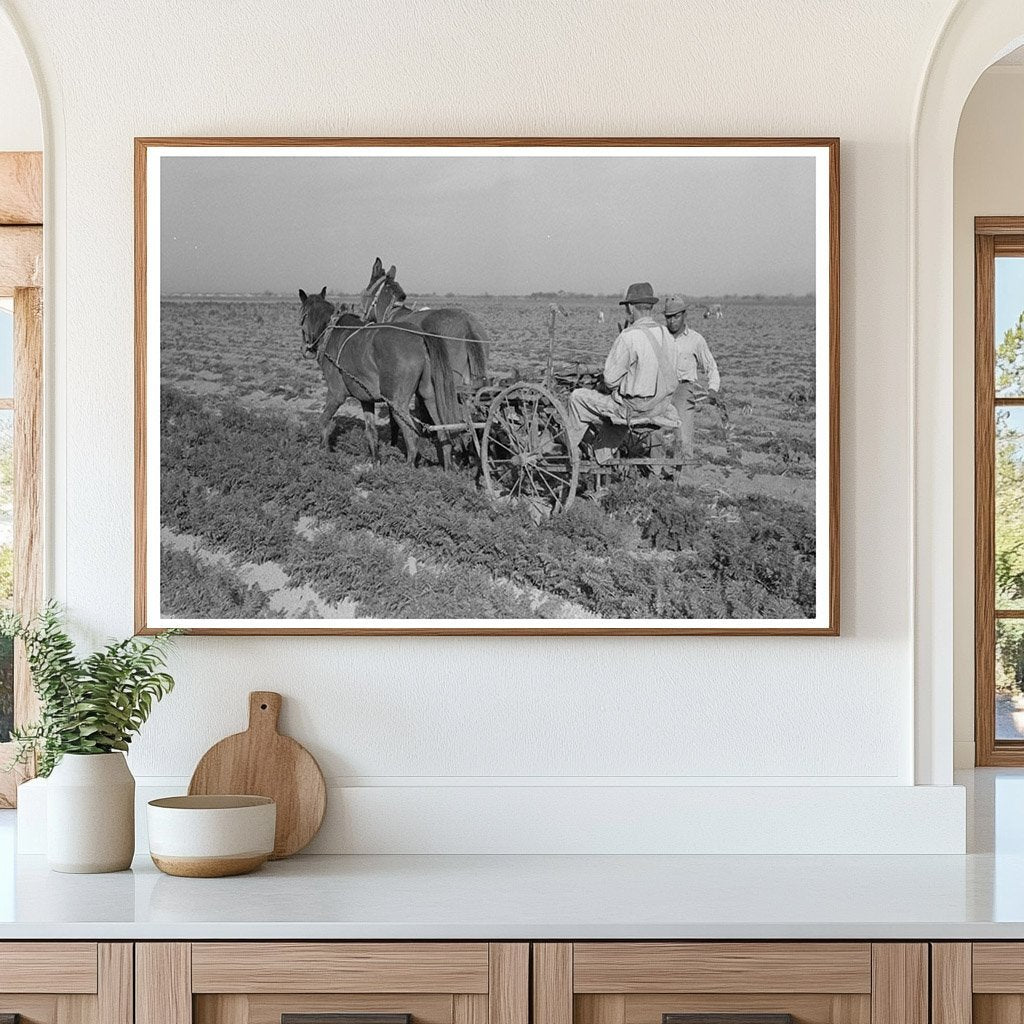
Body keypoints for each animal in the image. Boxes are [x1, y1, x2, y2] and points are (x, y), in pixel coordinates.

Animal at [296, 284, 456, 468]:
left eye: (302, 315)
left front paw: (323, 451)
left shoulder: (336, 395)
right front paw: (375, 461)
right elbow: (371, 432)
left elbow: (323, 421)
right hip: (429, 397)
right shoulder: (366, 400)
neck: (331, 332)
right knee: (443, 433)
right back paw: (447, 468)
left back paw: (407, 469)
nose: (305, 349)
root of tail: (419, 336)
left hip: (397, 404)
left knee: (412, 437)